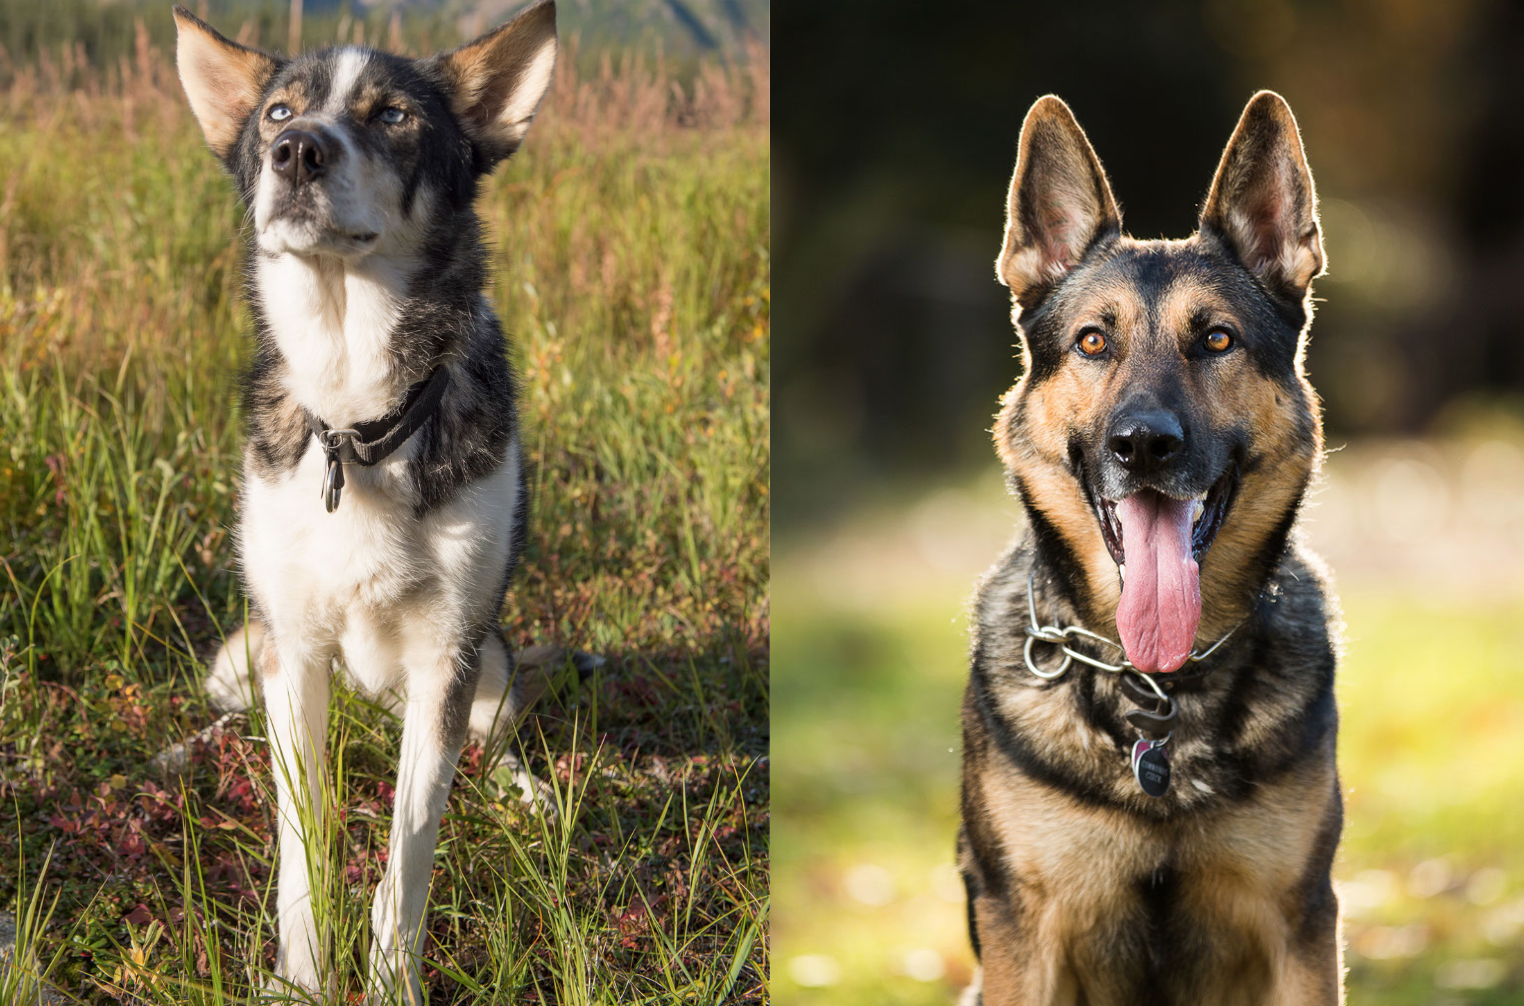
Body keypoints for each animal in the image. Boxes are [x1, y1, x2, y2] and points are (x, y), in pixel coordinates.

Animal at [172, 3, 563, 999]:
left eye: (393, 115)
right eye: (277, 112)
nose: (297, 153)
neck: (358, 415)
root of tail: (367, 706)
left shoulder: (447, 655)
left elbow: (411, 846)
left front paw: (391, 980)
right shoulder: (296, 650)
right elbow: (301, 840)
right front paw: (303, 977)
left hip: (491, 663)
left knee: (494, 744)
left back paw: (532, 793)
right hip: (248, 653)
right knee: (231, 713)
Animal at [963, 90, 1347, 999]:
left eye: (1217, 340)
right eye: (1093, 342)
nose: (1143, 445)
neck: (1157, 689)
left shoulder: (1303, 925)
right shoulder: (1020, 936)